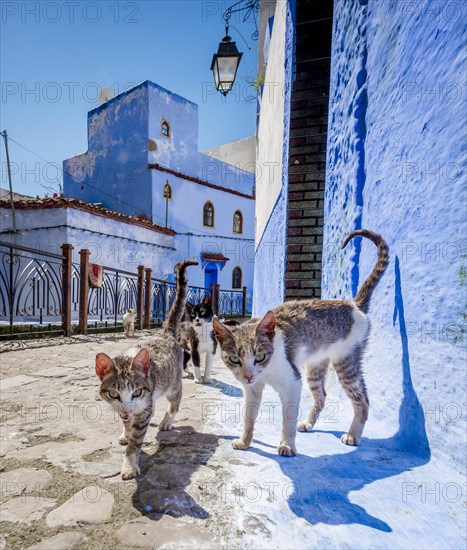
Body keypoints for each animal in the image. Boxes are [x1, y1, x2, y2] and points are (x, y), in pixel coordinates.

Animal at [95, 260, 197, 480]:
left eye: (137, 392)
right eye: (114, 394)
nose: (126, 410)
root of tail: (167, 335)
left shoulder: (143, 407)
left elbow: (136, 440)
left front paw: (129, 465)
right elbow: (127, 424)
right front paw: (125, 432)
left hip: (173, 383)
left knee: (175, 401)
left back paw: (166, 421)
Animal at [214, 231, 390, 460]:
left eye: (260, 356)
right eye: (234, 359)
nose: (249, 376)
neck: (266, 371)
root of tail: (354, 305)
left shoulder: (292, 383)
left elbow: (287, 419)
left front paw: (287, 445)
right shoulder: (252, 390)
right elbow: (248, 417)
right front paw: (245, 441)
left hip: (346, 363)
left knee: (363, 400)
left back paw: (353, 435)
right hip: (314, 368)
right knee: (321, 396)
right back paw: (308, 423)